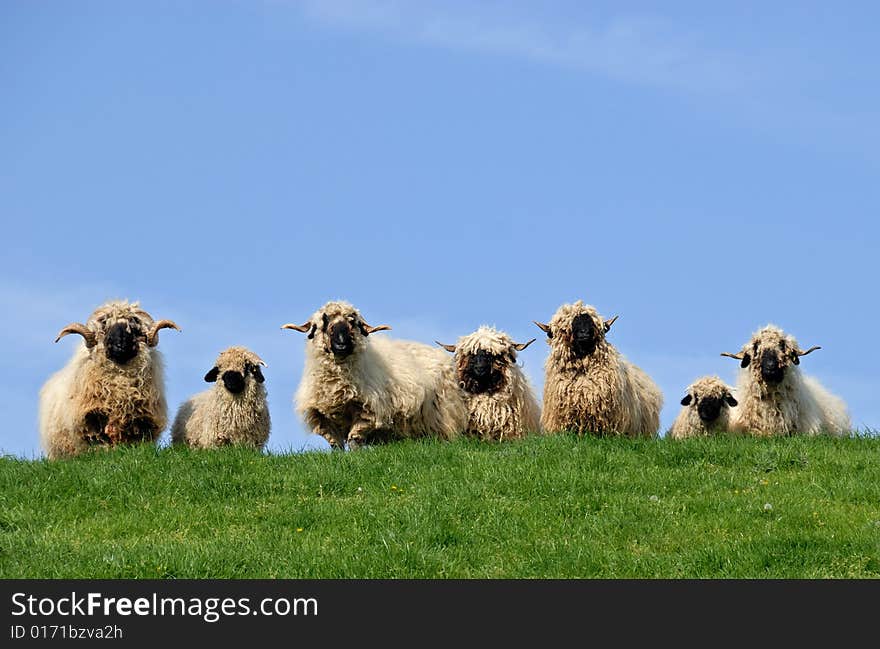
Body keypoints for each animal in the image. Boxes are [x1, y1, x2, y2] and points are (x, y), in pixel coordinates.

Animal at [38, 298, 180, 456]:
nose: (120, 345)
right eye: (105, 326)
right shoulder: (92, 418)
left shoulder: (141, 421)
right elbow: (100, 439)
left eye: (134, 326)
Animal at [286, 300, 470, 448]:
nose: (341, 343)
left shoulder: (368, 411)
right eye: (324, 321)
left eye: (353, 322)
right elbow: (336, 446)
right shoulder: (320, 418)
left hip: (443, 416)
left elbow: (354, 440)